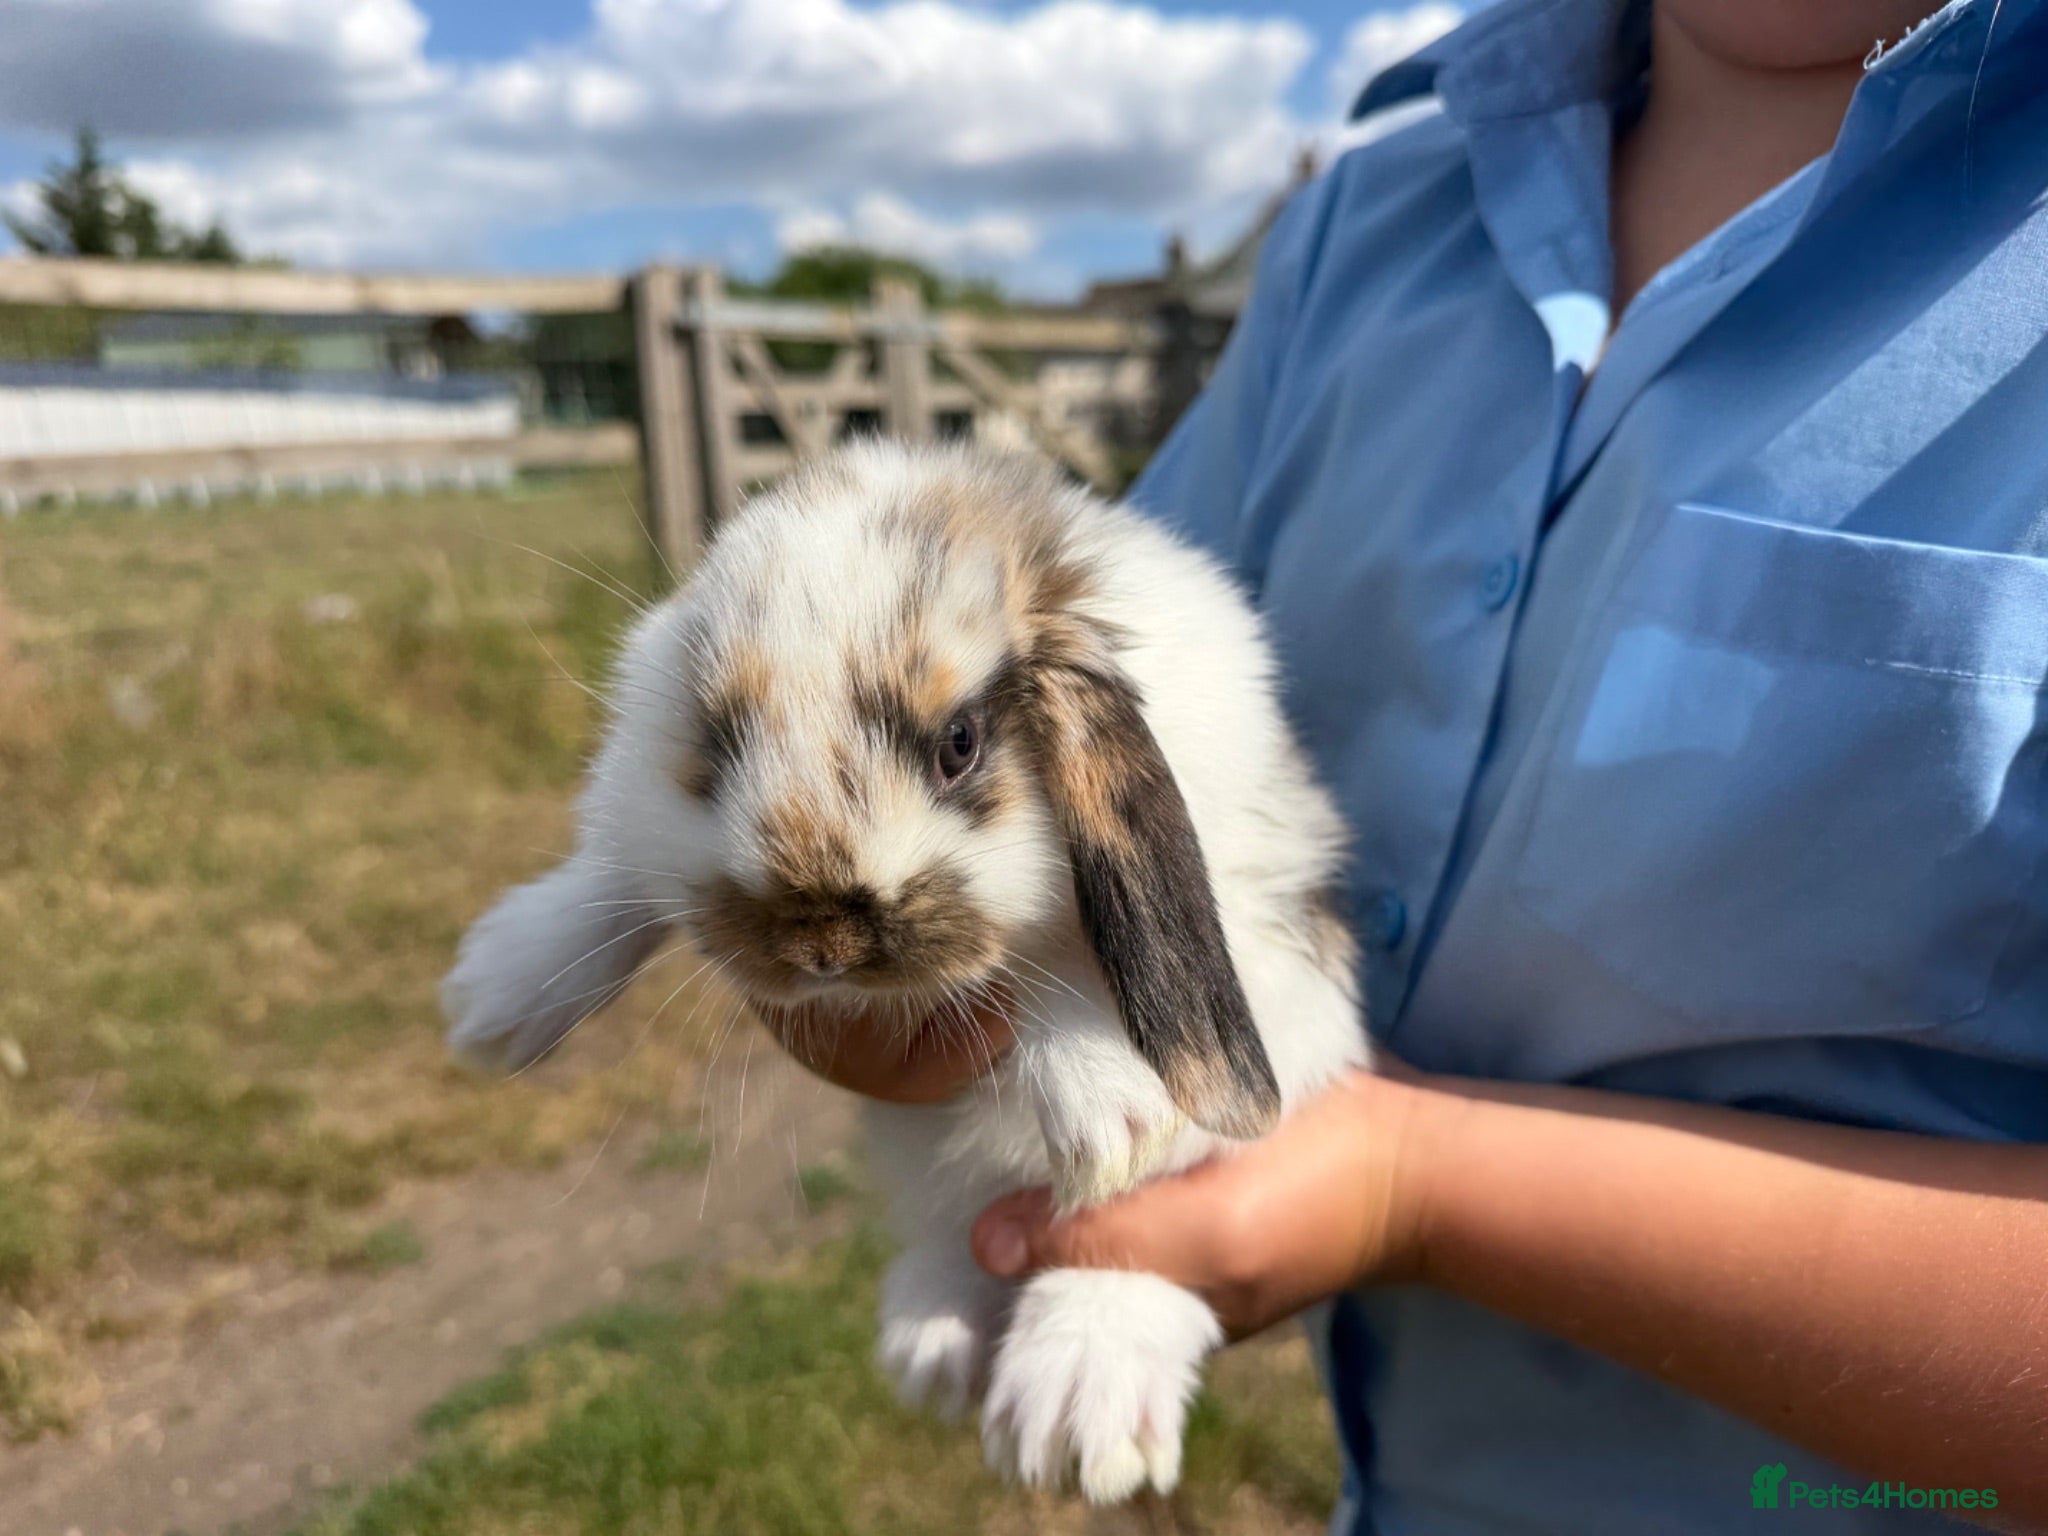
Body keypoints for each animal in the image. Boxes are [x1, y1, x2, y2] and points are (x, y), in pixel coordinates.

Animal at [441, 439, 1369, 1502]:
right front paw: (496, 994)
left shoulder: (1250, 914)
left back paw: (1069, 1407)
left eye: (958, 744)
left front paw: (1109, 1105)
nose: (823, 947)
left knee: (1136, 1235)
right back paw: (932, 1342)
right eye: (719, 745)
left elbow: (1057, 973)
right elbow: (614, 884)